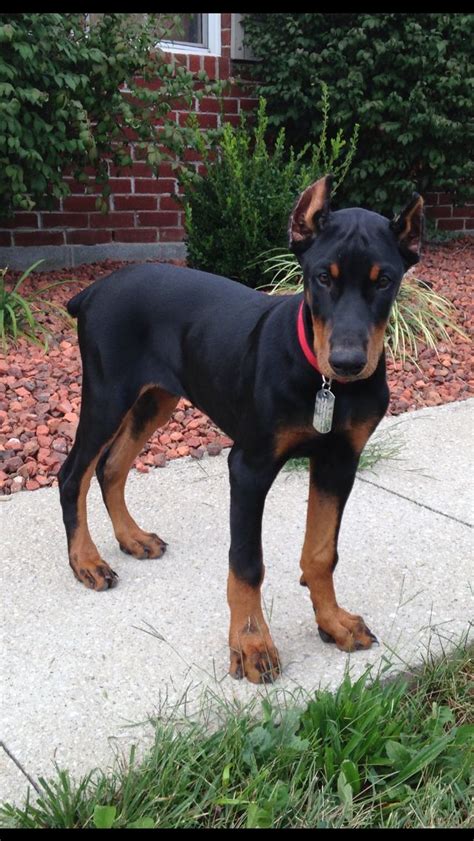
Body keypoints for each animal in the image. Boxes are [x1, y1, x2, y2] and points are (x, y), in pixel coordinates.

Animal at [57, 176, 424, 684]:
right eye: (322, 278)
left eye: (384, 280)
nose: (348, 363)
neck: (324, 383)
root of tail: (94, 290)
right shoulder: (249, 467)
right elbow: (247, 564)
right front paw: (252, 645)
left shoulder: (340, 461)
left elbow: (321, 552)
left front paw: (333, 622)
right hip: (108, 395)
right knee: (73, 474)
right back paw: (86, 561)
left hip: (156, 399)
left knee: (111, 466)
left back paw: (133, 538)